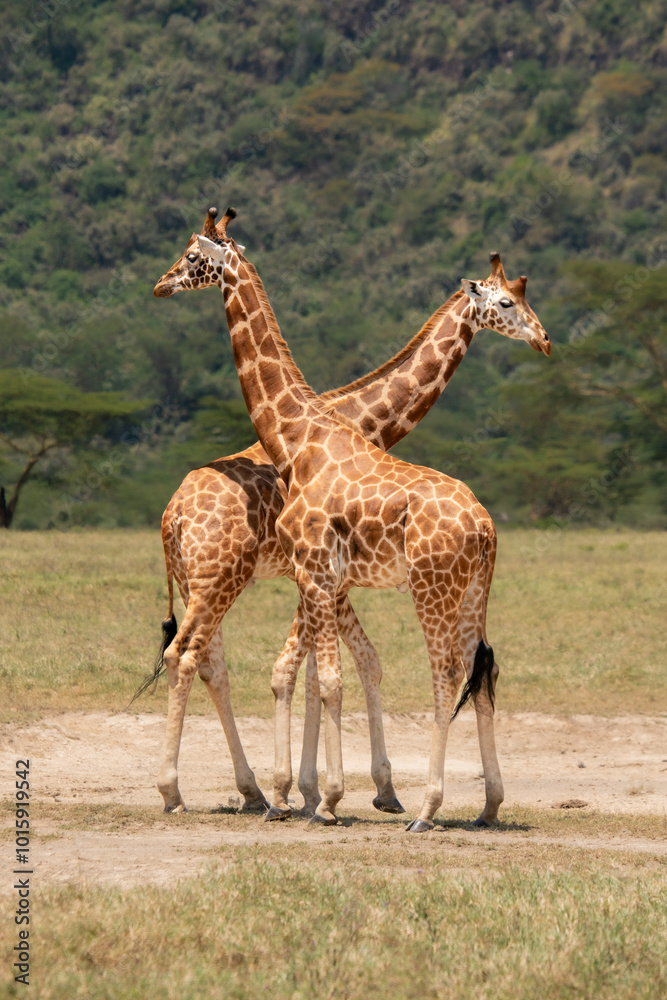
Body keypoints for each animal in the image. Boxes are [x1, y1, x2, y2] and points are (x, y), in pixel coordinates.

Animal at [153, 207, 551, 830]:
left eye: (193, 256)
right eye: (507, 303)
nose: (162, 283)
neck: (312, 429)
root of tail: (170, 514)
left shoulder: (322, 576)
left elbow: (326, 671)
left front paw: (324, 793)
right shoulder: (320, 576)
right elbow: (320, 671)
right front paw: (318, 792)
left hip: (246, 578)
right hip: (220, 577)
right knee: (197, 657)